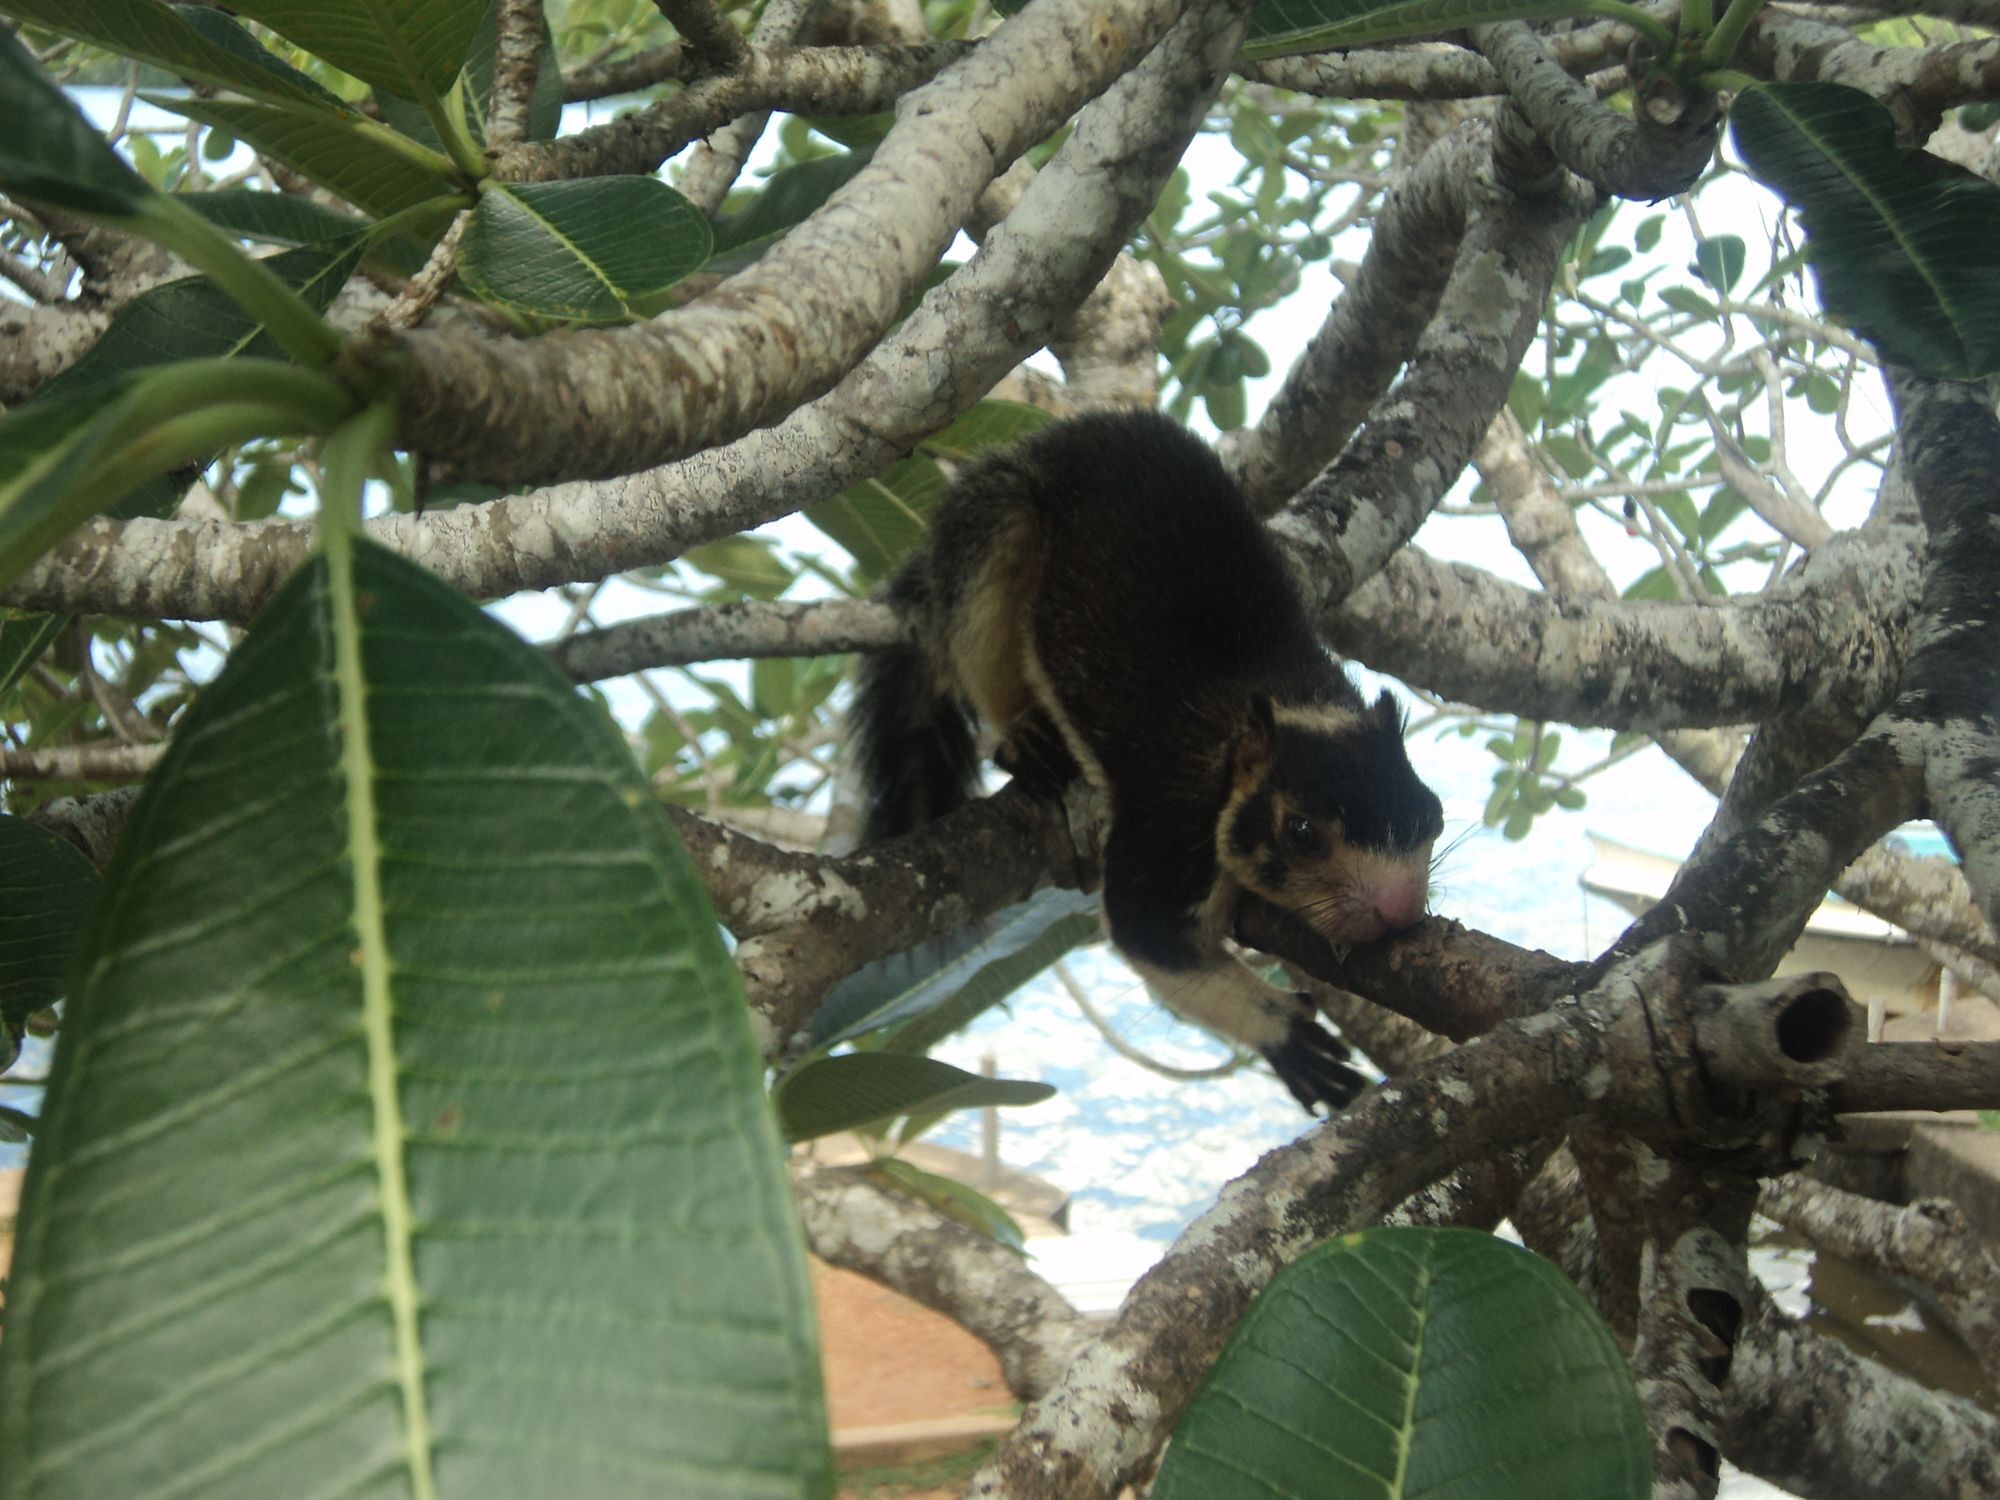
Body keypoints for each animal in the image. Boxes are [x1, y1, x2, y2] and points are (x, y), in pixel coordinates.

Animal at [852, 412, 1448, 1120]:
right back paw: (1026, 735)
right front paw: (1285, 1035)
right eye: (1300, 832)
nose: (1399, 908)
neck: (1281, 707)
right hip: (995, 527)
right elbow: (1147, 932)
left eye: (1434, 815)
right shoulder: (1175, 818)